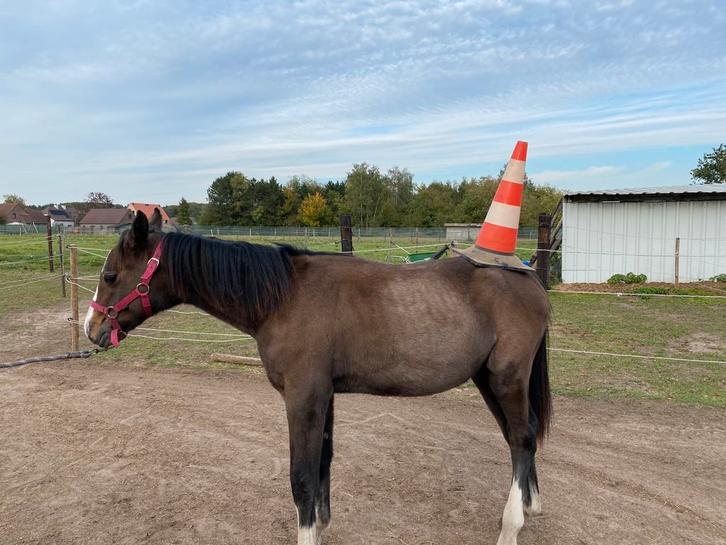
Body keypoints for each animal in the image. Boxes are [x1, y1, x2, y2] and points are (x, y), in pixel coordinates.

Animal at [84, 209, 552, 545]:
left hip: (506, 378)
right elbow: (323, 462)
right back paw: (531, 507)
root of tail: (529, 277)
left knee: (521, 438)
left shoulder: (303, 396)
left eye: (110, 275)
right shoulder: (323, 396)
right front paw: (322, 524)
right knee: (522, 435)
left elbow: (302, 476)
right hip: (487, 380)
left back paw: (511, 527)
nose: (92, 329)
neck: (283, 298)